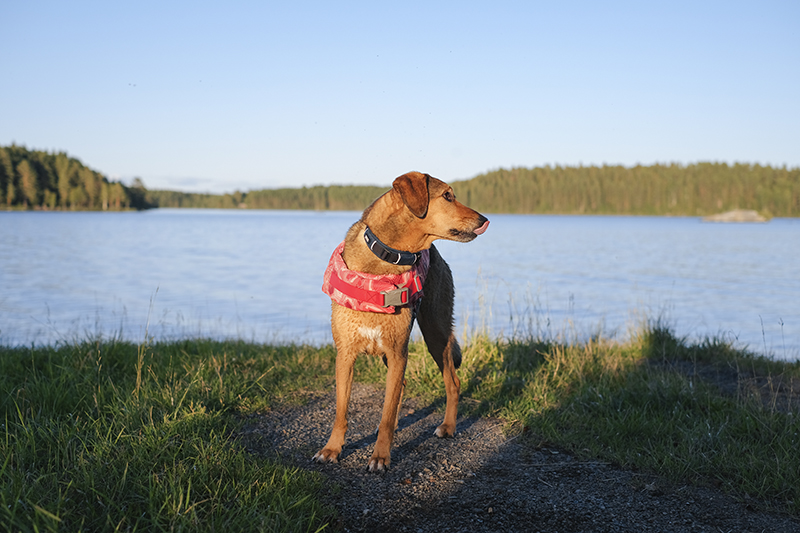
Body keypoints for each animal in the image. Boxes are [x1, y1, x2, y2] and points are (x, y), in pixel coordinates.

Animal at [312, 169, 488, 470]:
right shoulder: (345, 354)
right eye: (447, 196)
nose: (484, 220)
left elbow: (385, 414)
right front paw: (332, 449)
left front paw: (381, 456)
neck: (385, 260)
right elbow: (341, 411)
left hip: (436, 334)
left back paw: (448, 427)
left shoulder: (397, 353)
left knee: (452, 383)